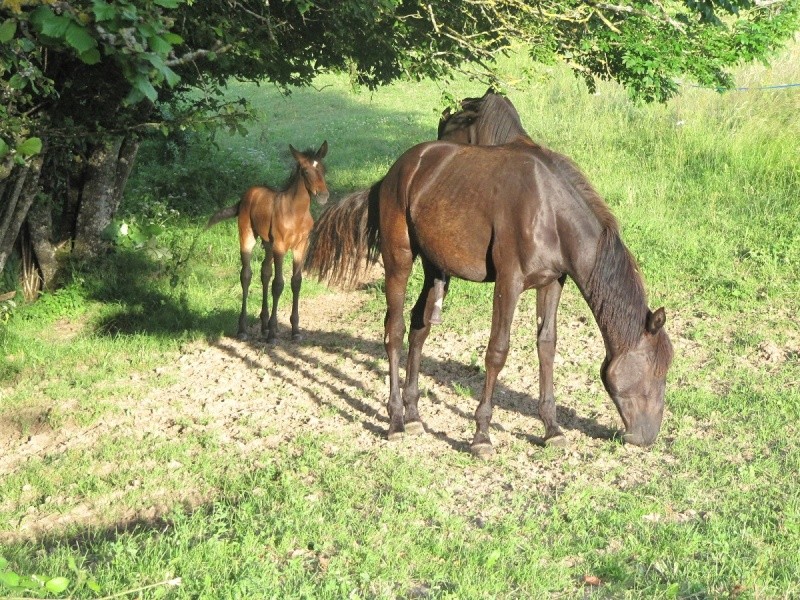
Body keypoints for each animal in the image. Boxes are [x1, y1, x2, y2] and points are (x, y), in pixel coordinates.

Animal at [209, 142, 332, 342]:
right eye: (306, 171)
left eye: (323, 169)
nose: (323, 195)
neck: (295, 213)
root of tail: (246, 195)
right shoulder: (280, 247)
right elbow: (278, 284)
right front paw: (274, 333)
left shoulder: (300, 247)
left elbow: (296, 282)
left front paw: (295, 331)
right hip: (248, 237)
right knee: (246, 275)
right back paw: (243, 329)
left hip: (268, 245)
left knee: (264, 272)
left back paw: (264, 325)